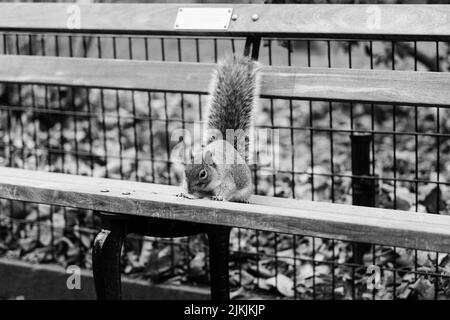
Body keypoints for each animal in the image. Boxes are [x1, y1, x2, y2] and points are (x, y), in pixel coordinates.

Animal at [177, 55, 260, 202]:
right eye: (185, 170)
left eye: (203, 174)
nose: (189, 189)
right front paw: (186, 194)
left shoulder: (227, 179)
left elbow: (227, 189)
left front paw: (219, 197)